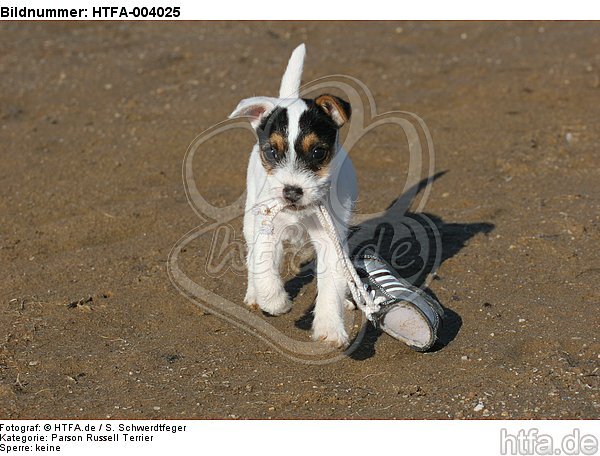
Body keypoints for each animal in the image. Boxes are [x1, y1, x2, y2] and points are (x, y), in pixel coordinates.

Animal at [227, 44, 354, 348]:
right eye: (272, 152)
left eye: (318, 152)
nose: (292, 191)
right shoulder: (267, 229)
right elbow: (263, 266)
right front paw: (275, 302)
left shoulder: (330, 241)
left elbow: (331, 284)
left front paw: (330, 327)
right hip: (251, 219)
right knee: (252, 256)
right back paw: (254, 294)